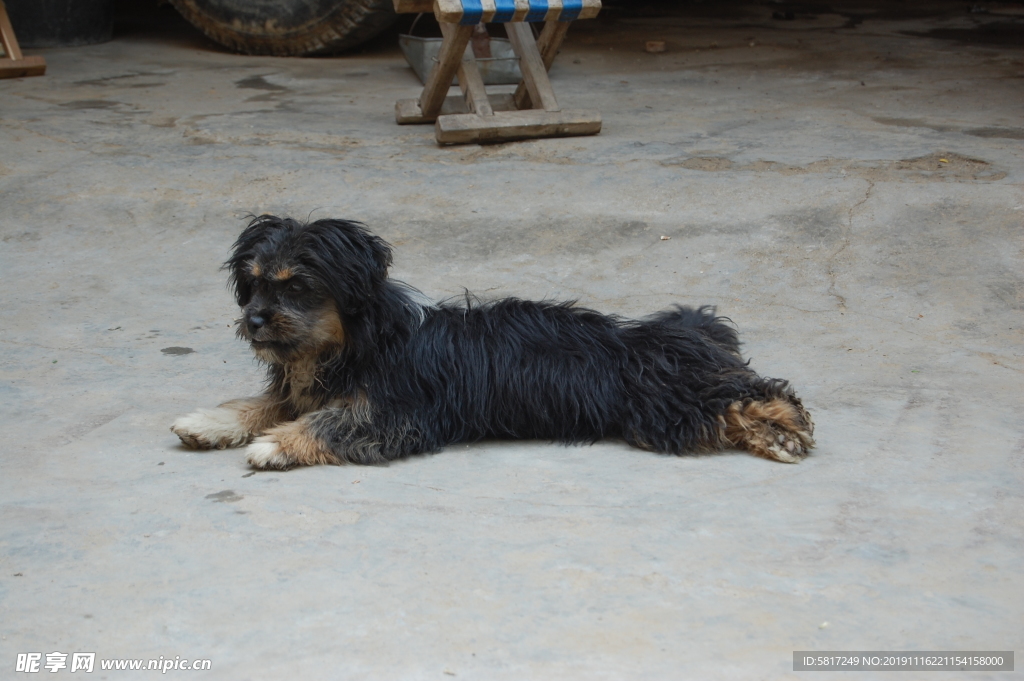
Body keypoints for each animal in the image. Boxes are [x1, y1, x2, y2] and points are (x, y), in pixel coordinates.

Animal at [176, 215, 815, 464]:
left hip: (664, 401)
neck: (354, 344)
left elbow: (330, 421)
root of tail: (678, 330)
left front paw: (276, 445)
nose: (255, 321)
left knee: (751, 392)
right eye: (255, 284)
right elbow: (260, 403)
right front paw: (210, 422)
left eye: (298, 286)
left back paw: (784, 428)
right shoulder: (303, 386)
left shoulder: (399, 413)